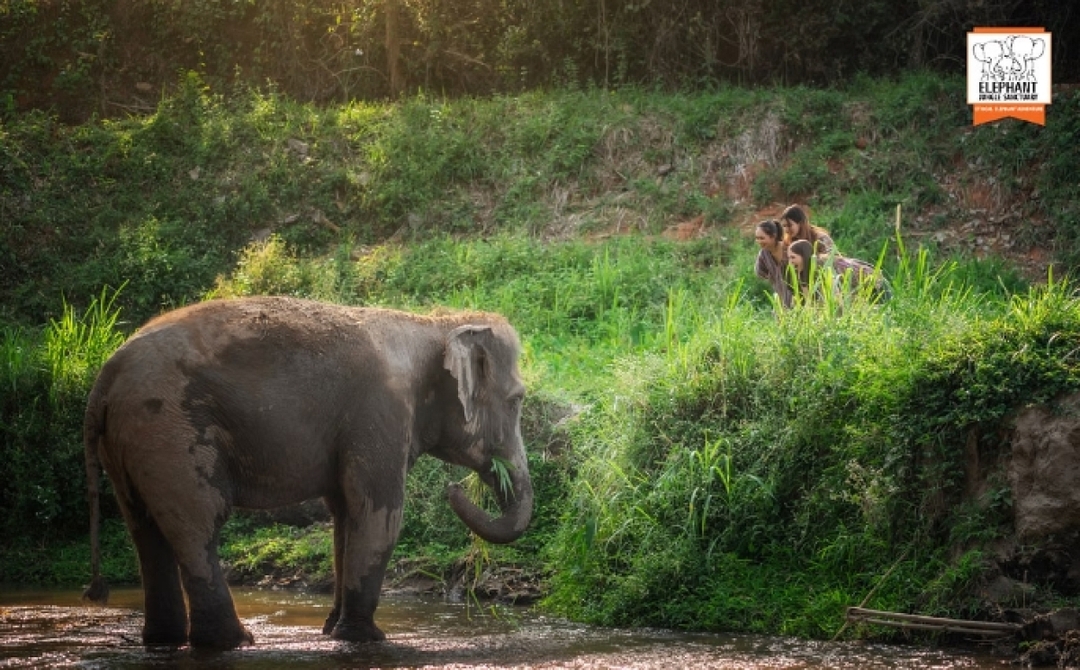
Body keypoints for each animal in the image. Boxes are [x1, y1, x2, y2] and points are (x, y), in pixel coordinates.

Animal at [82, 296, 532, 649]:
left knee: (145, 531)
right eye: (516, 401)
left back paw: (165, 642)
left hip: (131, 443)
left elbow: (346, 516)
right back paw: (232, 642)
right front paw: (366, 638)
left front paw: (333, 631)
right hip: (168, 431)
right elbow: (378, 514)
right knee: (198, 523)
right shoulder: (379, 411)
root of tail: (105, 377)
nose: (455, 488)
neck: (431, 325)